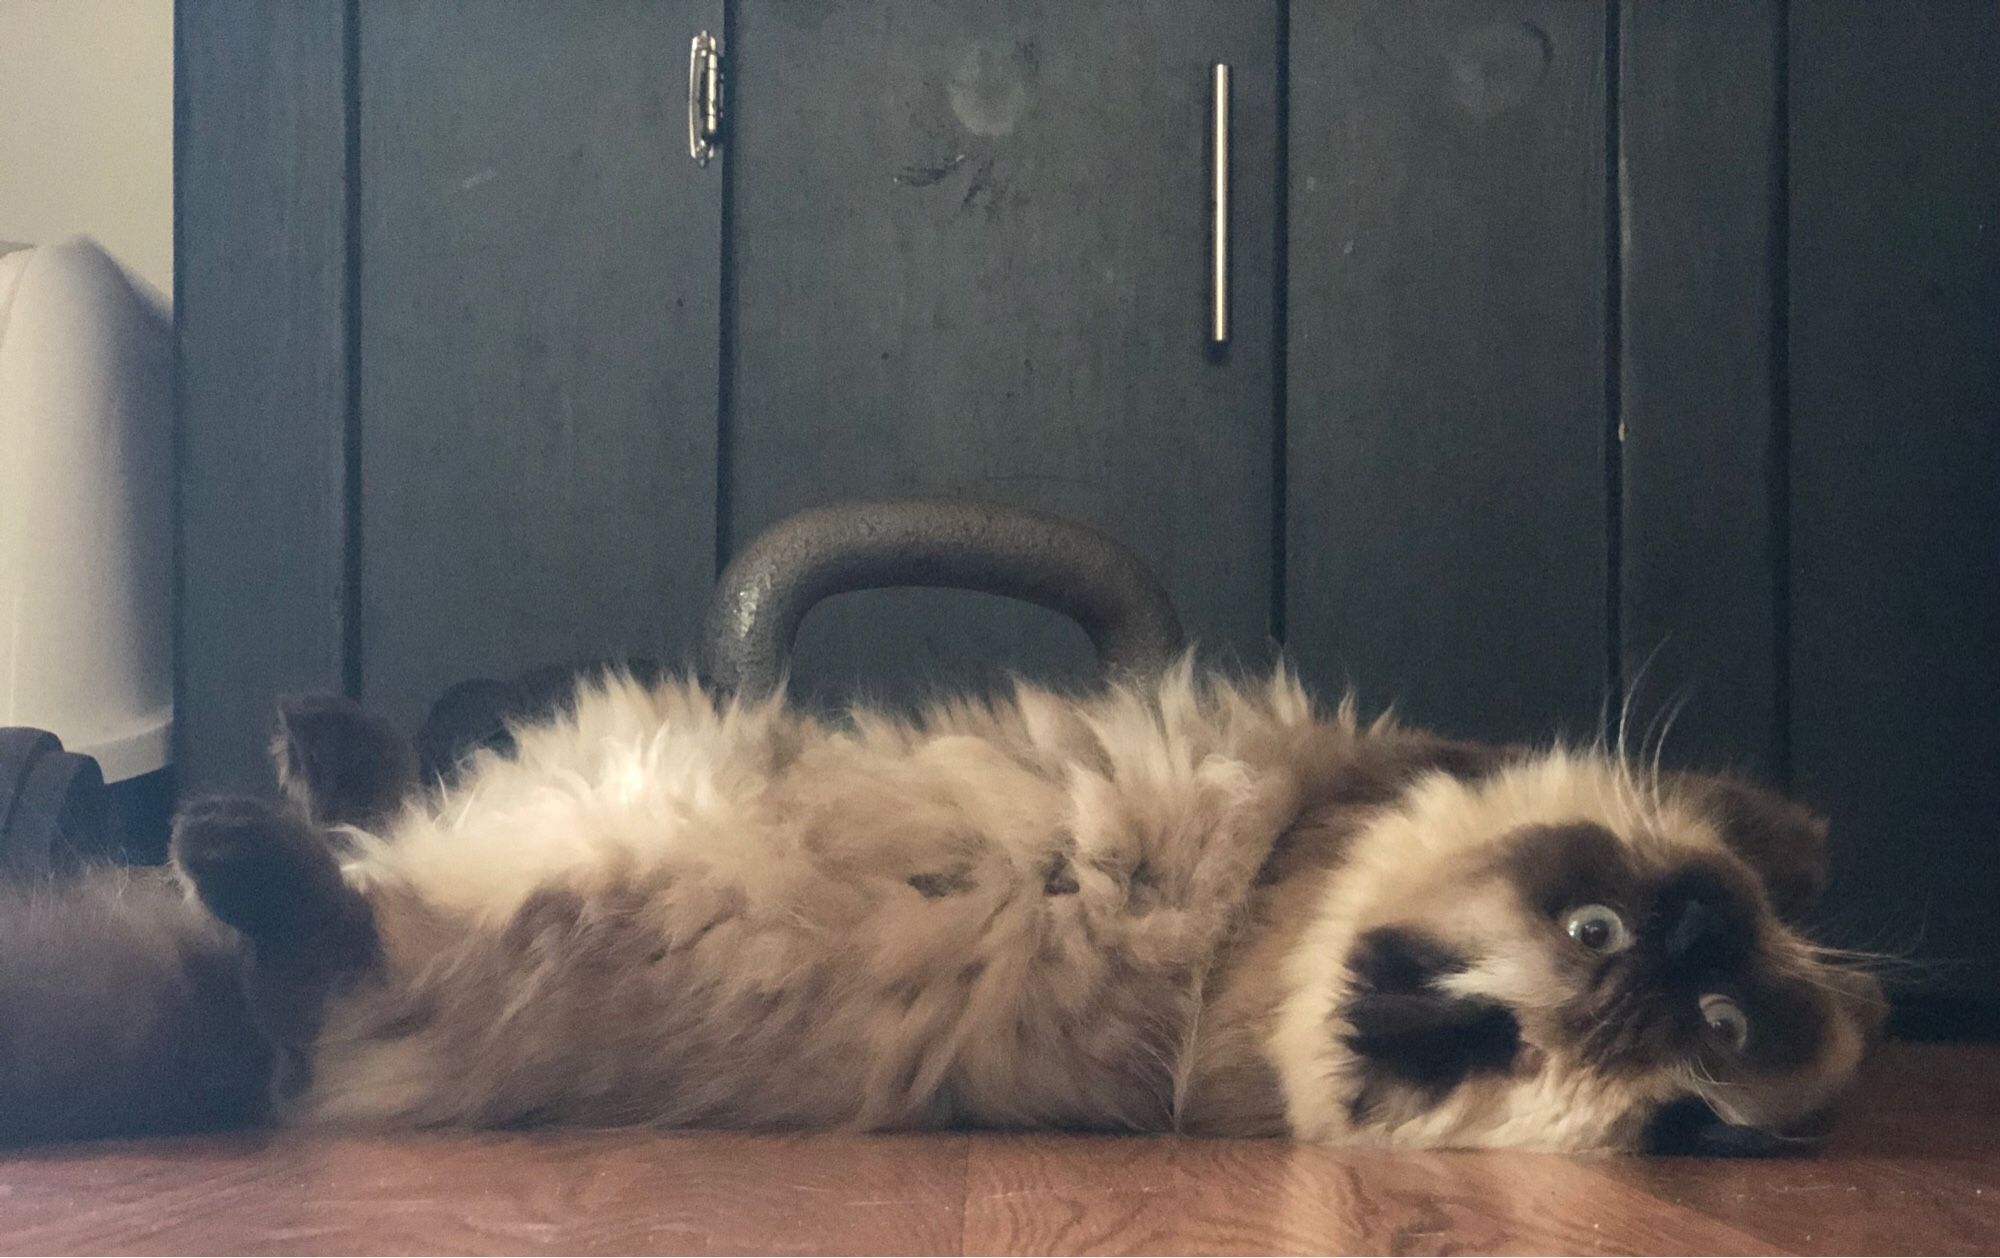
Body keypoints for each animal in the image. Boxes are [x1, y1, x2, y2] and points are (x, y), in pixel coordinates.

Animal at [0, 664, 1880, 1152]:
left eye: (1715, 1030)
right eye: (1602, 935)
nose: (1695, 941)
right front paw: (1802, 830)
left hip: (569, 899)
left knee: (324, 961)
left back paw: (241, 842)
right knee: (379, 811)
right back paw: (318, 741)